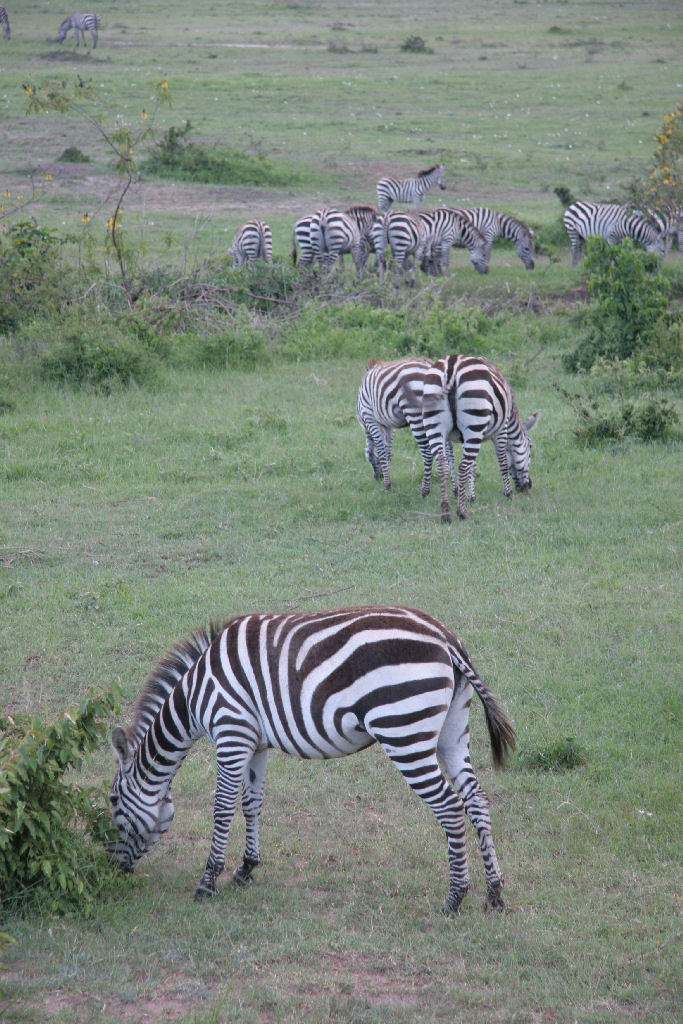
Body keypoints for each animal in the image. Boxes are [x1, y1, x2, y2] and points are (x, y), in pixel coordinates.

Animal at [109, 604, 516, 915]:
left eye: (112, 801)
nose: (115, 871)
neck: (194, 695)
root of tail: (445, 637)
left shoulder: (231, 732)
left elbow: (223, 807)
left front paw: (208, 883)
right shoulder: (255, 743)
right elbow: (251, 803)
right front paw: (246, 869)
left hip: (404, 732)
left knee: (449, 807)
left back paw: (454, 897)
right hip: (452, 731)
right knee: (476, 800)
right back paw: (494, 893)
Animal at [356, 357, 456, 498]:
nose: (378, 477)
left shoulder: (370, 418)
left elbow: (380, 451)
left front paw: (387, 486)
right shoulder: (389, 426)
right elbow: (388, 452)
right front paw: (388, 479)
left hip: (415, 414)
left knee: (427, 453)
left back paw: (424, 491)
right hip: (440, 417)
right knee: (449, 450)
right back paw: (455, 490)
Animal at [422, 354, 540, 522]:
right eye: (530, 447)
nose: (528, 486)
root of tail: (452, 364)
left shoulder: (463, 437)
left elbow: (473, 465)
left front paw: (471, 496)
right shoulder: (501, 430)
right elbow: (503, 462)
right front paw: (508, 494)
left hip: (435, 425)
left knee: (442, 464)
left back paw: (445, 511)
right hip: (474, 421)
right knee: (462, 466)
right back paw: (461, 512)